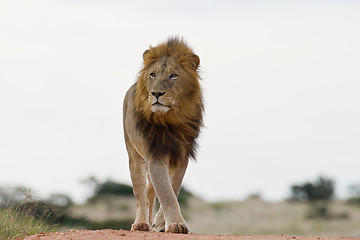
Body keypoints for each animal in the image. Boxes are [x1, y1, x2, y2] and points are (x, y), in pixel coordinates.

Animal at [123, 38, 202, 234]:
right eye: (153, 74)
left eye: (173, 75)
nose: (156, 93)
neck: (171, 119)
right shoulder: (155, 155)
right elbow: (166, 192)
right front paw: (175, 224)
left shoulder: (181, 156)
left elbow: (172, 188)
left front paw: (161, 223)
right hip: (134, 156)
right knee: (141, 195)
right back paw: (141, 224)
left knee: (150, 192)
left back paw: (151, 223)